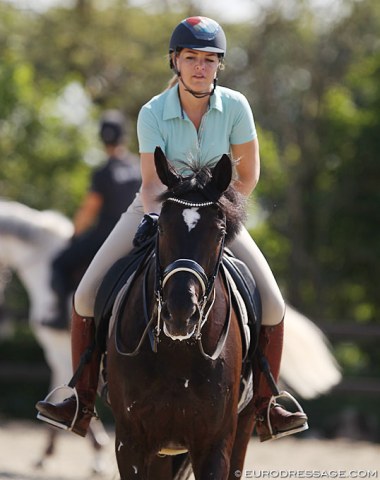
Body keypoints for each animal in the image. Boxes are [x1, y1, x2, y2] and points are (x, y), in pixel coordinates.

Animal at [105, 148, 256, 478]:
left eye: (220, 232)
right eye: (160, 227)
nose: (180, 313)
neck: (178, 352)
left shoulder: (215, 445)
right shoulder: (130, 443)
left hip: (243, 427)